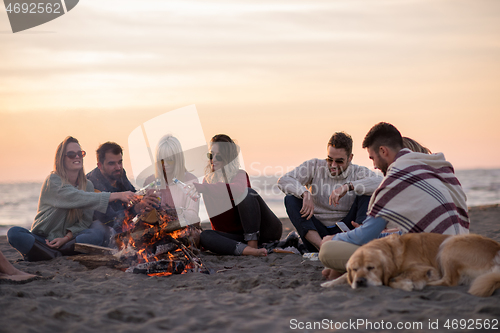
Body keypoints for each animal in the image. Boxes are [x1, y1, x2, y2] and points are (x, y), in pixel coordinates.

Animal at [320, 231, 500, 296]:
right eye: (354, 269)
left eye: (371, 268)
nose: (360, 282)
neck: (391, 252)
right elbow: (343, 276)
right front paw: (329, 283)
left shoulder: (422, 266)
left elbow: (392, 280)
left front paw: (407, 284)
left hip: (449, 244)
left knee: (450, 281)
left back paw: (427, 282)